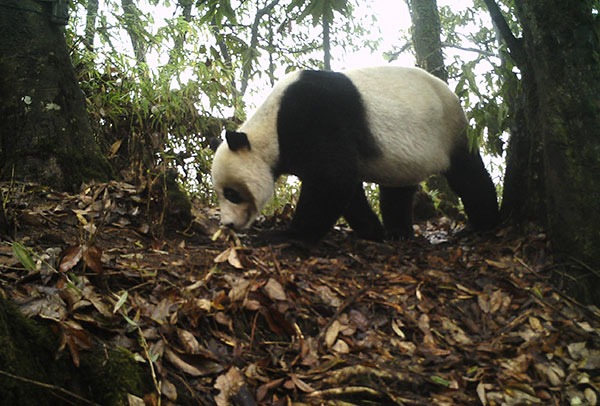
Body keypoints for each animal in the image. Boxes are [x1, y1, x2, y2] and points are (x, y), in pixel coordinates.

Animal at [212, 66, 502, 241]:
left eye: (231, 193)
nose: (227, 224)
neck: (269, 128)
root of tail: (453, 95)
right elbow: (345, 187)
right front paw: (372, 232)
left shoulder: (315, 116)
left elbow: (334, 177)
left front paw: (287, 234)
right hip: (405, 157)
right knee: (397, 191)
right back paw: (398, 231)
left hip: (449, 131)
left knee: (468, 175)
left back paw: (482, 224)